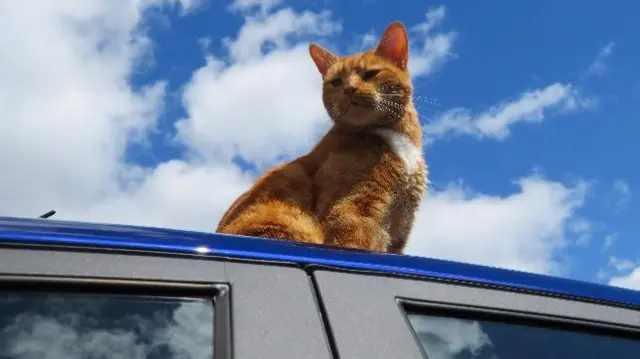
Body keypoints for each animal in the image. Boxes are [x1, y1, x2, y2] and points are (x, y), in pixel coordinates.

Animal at [218, 21, 428, 255]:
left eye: (370, 74)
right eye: (336, 82)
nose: (349, 89)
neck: (393, 137)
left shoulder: (398, 233)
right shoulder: (352, 212)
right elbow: (353, 243)